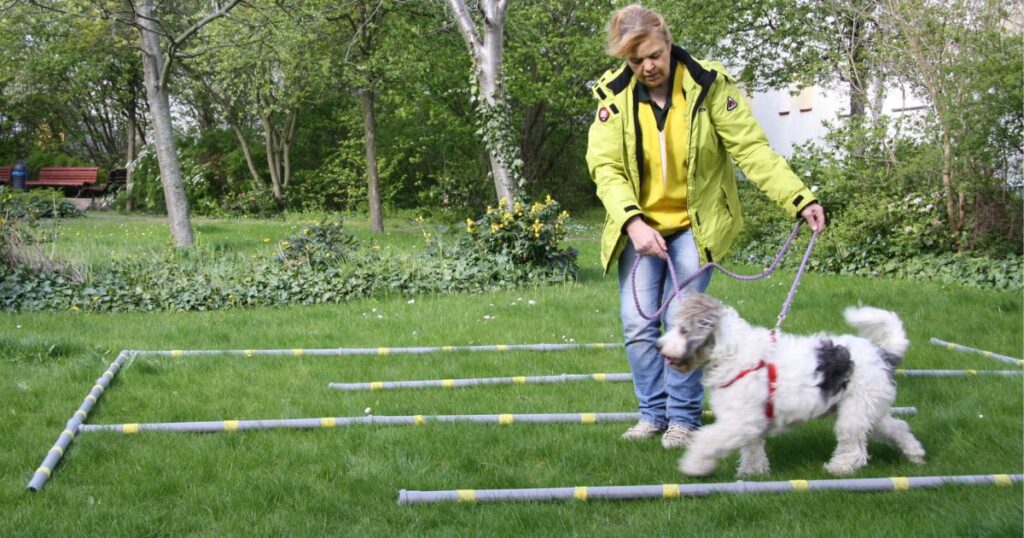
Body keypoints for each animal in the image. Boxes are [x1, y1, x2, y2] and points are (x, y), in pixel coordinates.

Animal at [655, 295, 929, 475]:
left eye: (682, 330)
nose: (659, 346)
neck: (732, 353)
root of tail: (883, 354)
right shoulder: (750, 423)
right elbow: (752, 449)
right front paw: (753, 473)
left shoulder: (740, 421)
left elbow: (708, 440)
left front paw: (693, 465)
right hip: (869, 409)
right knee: (898, 427)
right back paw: (915, 454)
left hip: (855, 413)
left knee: (855, 449)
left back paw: (838, 467)